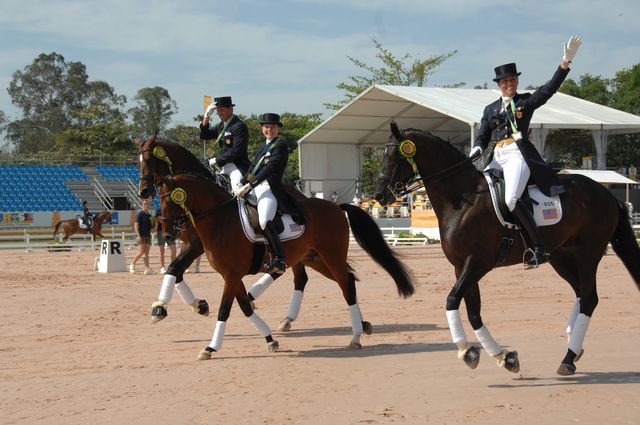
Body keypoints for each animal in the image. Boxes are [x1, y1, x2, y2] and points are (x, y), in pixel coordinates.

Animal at [160, 171, 416, 360]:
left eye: (168, 200)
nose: (167, 235)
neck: (221, 221)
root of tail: (335, 206)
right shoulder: (231, 275)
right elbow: (245, 307)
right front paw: (271, 340)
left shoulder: (231, 275)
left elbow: (225, 309)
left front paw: (210, 348)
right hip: (315, 259)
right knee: (346, 281)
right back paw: (362, 327)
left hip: (331, 256)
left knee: (346, 287)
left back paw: (355, 337)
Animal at [376, 121, 640, 374]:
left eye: (394, 156)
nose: (379, 196)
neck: (462, 198)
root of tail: (606, 193)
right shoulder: (461, 266)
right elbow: (473, 312)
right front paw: (504, 357)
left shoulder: (478, 263)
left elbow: (452, 299)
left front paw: (467, 352)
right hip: (561, 257)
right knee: (581, 294)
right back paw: (574, 347)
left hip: (588, 254)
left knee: (589, 299)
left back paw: (568, 358)